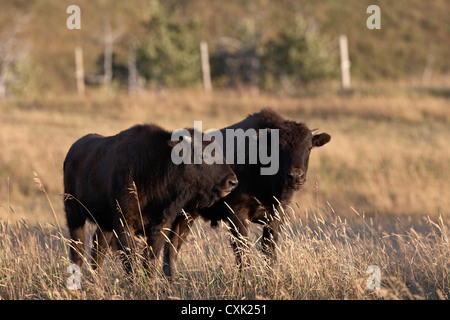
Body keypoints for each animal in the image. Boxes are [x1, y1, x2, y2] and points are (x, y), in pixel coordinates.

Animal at [64, 124, 239, 274]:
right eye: (203, 154)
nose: (232, 182)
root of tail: (73, 150)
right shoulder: (125, 225)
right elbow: (131, 263)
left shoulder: (159, 226)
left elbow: (150, 262)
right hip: (73, 214)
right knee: (78, 249)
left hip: (104, 223)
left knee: (98, 248)